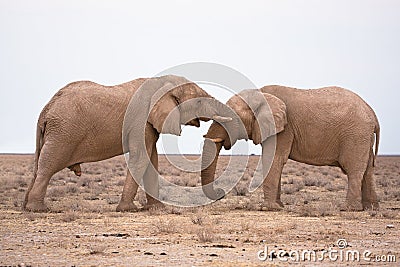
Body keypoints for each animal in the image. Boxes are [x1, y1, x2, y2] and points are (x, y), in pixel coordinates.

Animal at [24, 76, 231, 214]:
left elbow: (152, 158)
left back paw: (26, 206)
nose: (220, 192)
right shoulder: (141, 119)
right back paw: (39, 209)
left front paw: (157, 208)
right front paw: (127, 209)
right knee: (48, 167)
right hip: (63, 133)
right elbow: (141, 156)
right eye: (198, 101)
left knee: (38, 167)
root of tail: (46, 109)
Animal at [202, 87, 380, 213]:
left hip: (356, 135)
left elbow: (273, 159)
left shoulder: (284, 129)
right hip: (364, 137)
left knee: (354, 170)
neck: (261, 94)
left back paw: (348, 209)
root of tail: (372, 112)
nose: (221, 192)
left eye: (230, 119)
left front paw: (267, 208)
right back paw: (370, 208)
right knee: (368, 170)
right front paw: (278, 206)